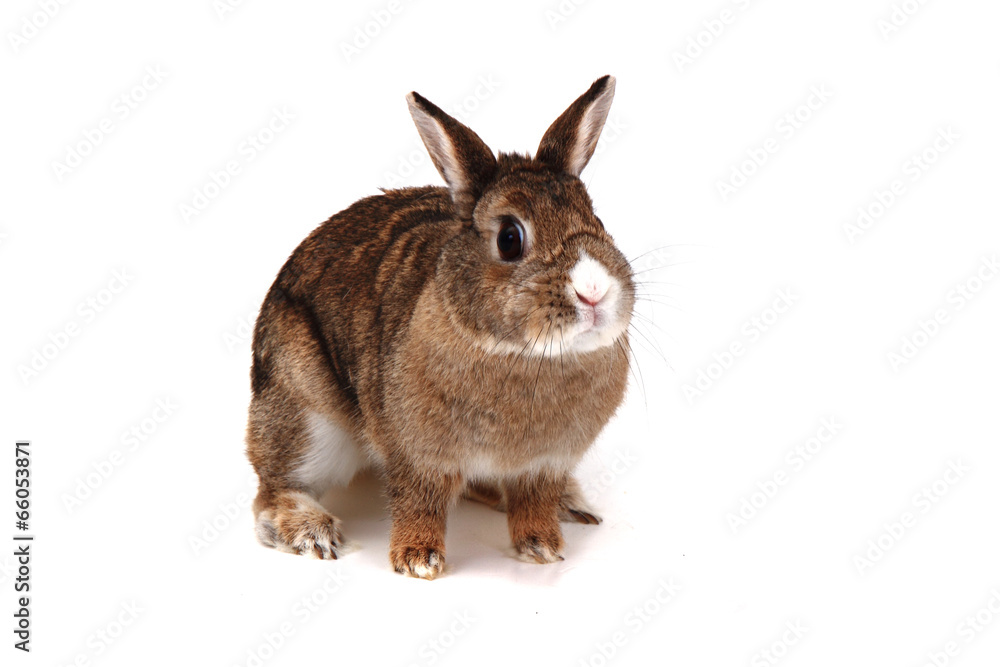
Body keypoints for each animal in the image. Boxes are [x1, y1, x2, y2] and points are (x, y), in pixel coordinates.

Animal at [246, 74, 634, 579]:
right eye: (510, 238)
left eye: (597, 220)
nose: (593, 291)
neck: (528, 357)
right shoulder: (416, 455)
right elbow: (420, 502)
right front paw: (418, 560)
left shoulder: (544, 464)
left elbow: (532, 501)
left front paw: (542, 547)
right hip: (304, 415)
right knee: (271, 493)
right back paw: (314, 531)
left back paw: (570, 505)